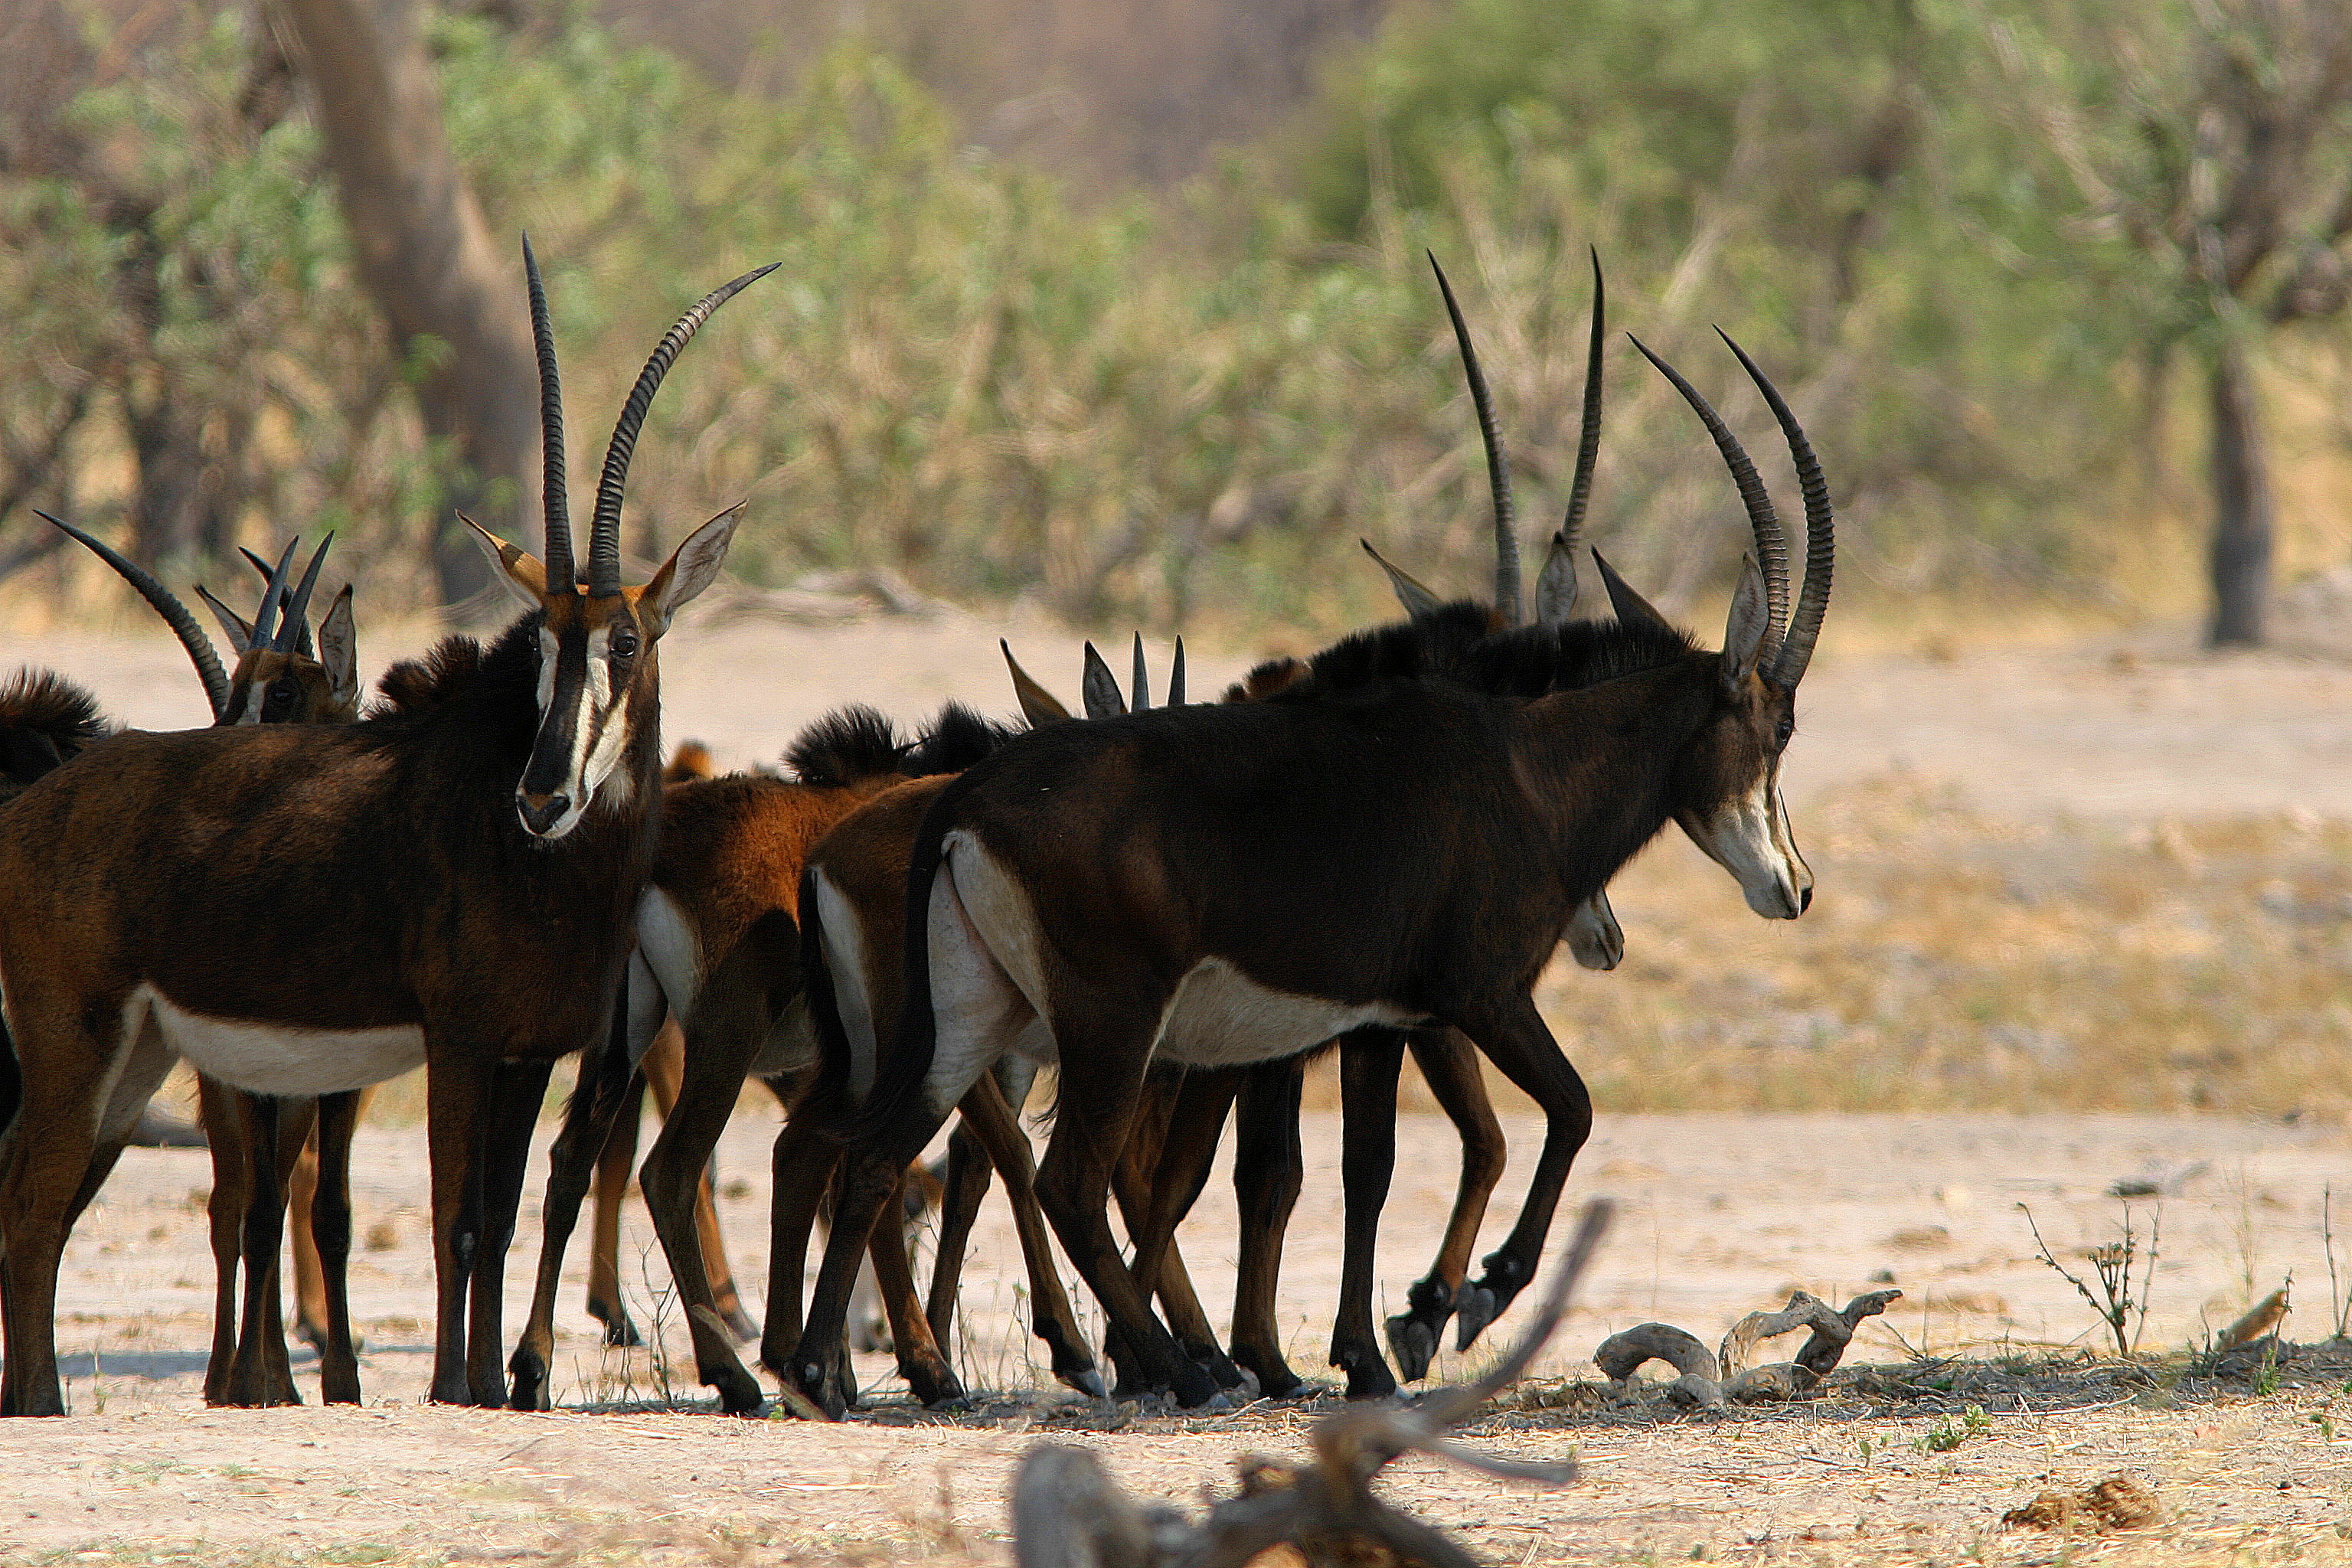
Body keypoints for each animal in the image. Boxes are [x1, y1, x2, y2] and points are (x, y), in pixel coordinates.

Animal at [790, 324, 1834, 1419]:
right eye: (1779, 727)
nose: (1794, 886)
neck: (1526, 766)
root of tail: (965, 799)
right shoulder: (1484, 994)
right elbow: (1572, 1110)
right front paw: (1470, 1299)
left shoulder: (1380, 1020)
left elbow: (1365, 1170)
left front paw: (1370, 1354)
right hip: (1111, 1024)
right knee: (1065, 1178)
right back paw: (1170, 1369)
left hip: (972, 1013)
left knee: (878, 1151)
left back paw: (821, 1373)